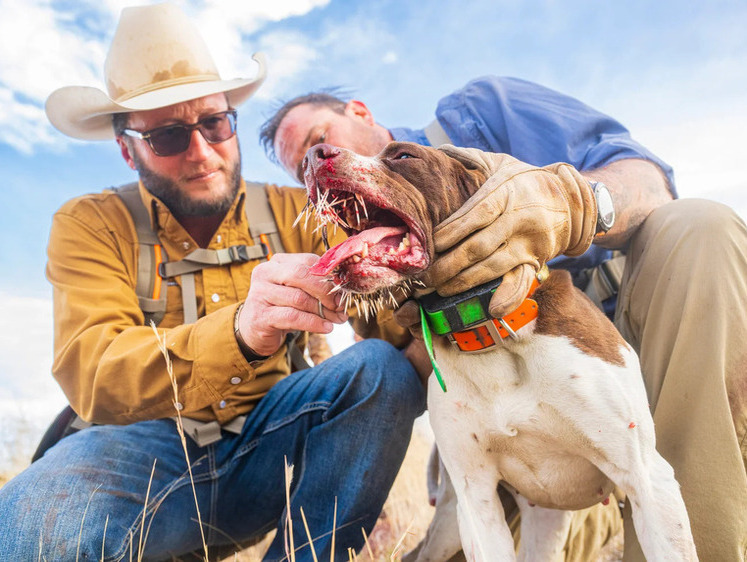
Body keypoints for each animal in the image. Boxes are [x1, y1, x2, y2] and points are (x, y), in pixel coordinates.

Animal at [300, 141, 700, 560]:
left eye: (404, 156)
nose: (313, 155)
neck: (487, 328)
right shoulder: (476, 500)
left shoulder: (647, 478)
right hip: (462, 519)